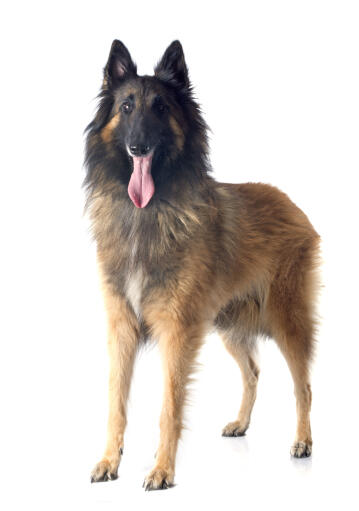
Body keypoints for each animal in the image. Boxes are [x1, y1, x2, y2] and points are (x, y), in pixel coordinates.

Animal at [84, 40, 320, 492]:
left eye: (161, 108)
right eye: (126, 107)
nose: (138, 147)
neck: (148, 213)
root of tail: (292, 203)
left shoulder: (177, 331)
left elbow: (169, 406)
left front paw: (162, 470)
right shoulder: (122, 327)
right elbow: (115, 402)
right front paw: (108, 460)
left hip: (287, 319)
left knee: (303, 385)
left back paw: (302, 442)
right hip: (230, 324)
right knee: (253, 372)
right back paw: (241, 424)